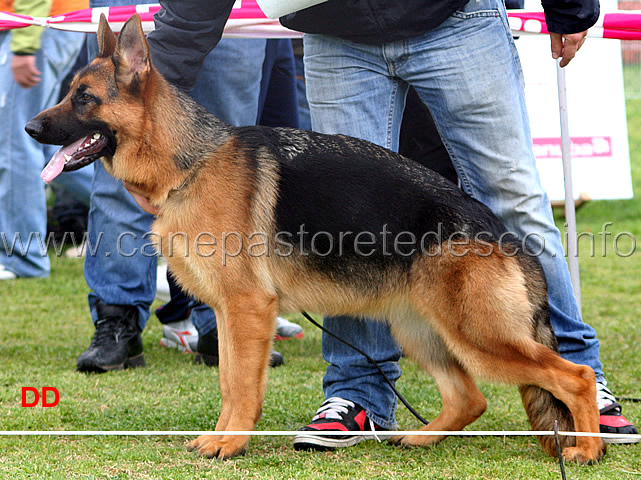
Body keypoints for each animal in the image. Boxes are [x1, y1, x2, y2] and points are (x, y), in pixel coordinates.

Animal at [26, 14, 604, 464]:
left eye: (84, 98)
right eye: (68, 93)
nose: (30, 128)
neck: (190, 164)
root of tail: (500, 231)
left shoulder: (248, 309)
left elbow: (242, 384)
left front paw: (229, 444)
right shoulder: (233, 315)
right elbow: (228, 380)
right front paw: (221, 438)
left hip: (479, 337)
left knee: (572, 375)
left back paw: (589, 447)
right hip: (421, 330)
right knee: (470, 399)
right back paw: (420, 438)